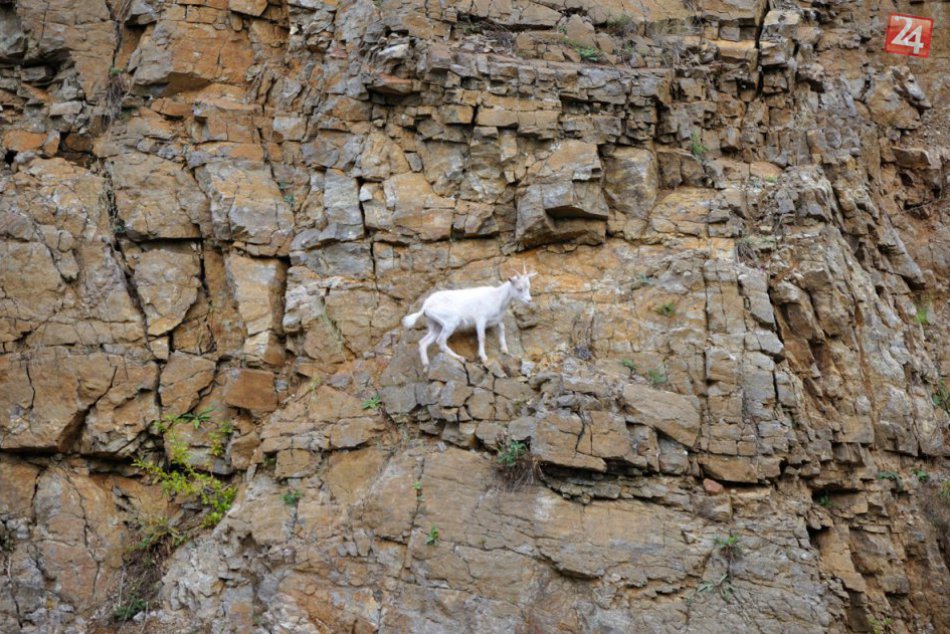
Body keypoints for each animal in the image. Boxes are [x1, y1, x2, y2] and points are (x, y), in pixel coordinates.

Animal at [400, 264, 536, 368]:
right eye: (519, 288)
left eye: (528, 287)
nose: (529, 300)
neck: (497, 297)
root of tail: (426, 305)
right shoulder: (480, 320)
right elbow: (481, 337)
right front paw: (484, 357)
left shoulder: (496, 320)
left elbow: (502, 329)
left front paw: (505, 350)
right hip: (450, 322)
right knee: (441, 341)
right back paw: (460, 358)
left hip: (435, 325)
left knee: (423, 342)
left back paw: (426, 365)